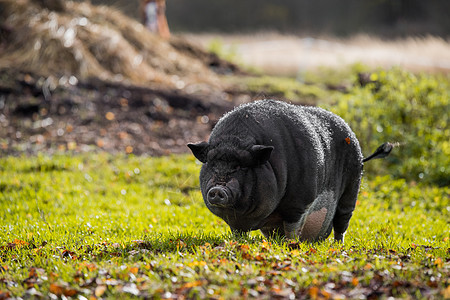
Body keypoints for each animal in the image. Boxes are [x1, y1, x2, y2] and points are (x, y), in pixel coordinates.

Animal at [188, 99, 392, 243]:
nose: (217, 189)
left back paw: (337, 246)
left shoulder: (300, 202)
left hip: (351, 189)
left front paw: (290, 244)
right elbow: (238, 232)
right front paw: (238, 242)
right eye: (212, 164)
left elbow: (293, 226)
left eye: (241, 166)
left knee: (342, 223)